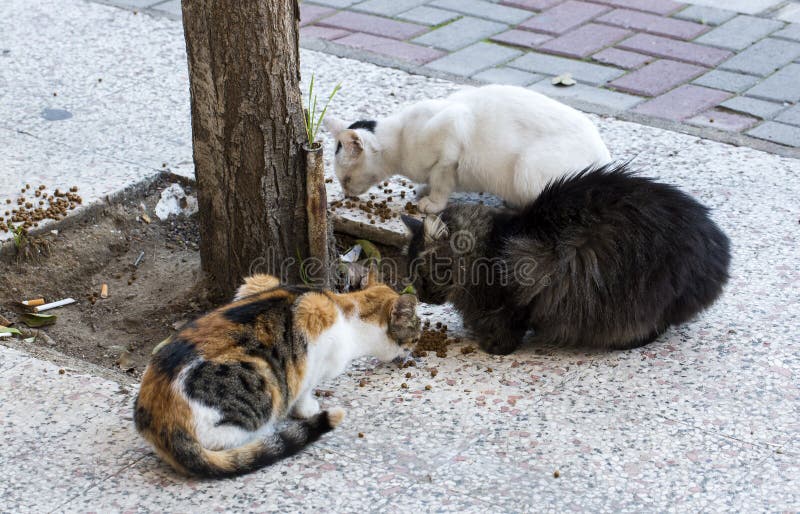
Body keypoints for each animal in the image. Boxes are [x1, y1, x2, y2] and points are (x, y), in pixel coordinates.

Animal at [133, 270, 418, 474]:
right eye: (417, 331)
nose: (414, 351)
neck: (349, 312)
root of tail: (157, 417)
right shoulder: (314, 322)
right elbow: (305, 386)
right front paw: (309, 408)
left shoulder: (256, 282)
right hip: (263, 379)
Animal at [324, 84, 612, 212]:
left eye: (346, 178)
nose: (346, 193)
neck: (399, 137)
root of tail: (605, 160)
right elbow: (436, 180)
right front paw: (425, 189)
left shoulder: (453, 131)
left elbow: (442, 181)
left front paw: (433, 203)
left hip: (527, 170)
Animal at [404, 162, 728, 354]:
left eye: (423, 274)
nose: (421, 295)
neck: (488, 247)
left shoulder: (517, 293)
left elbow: (508, 325)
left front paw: (494, 345)